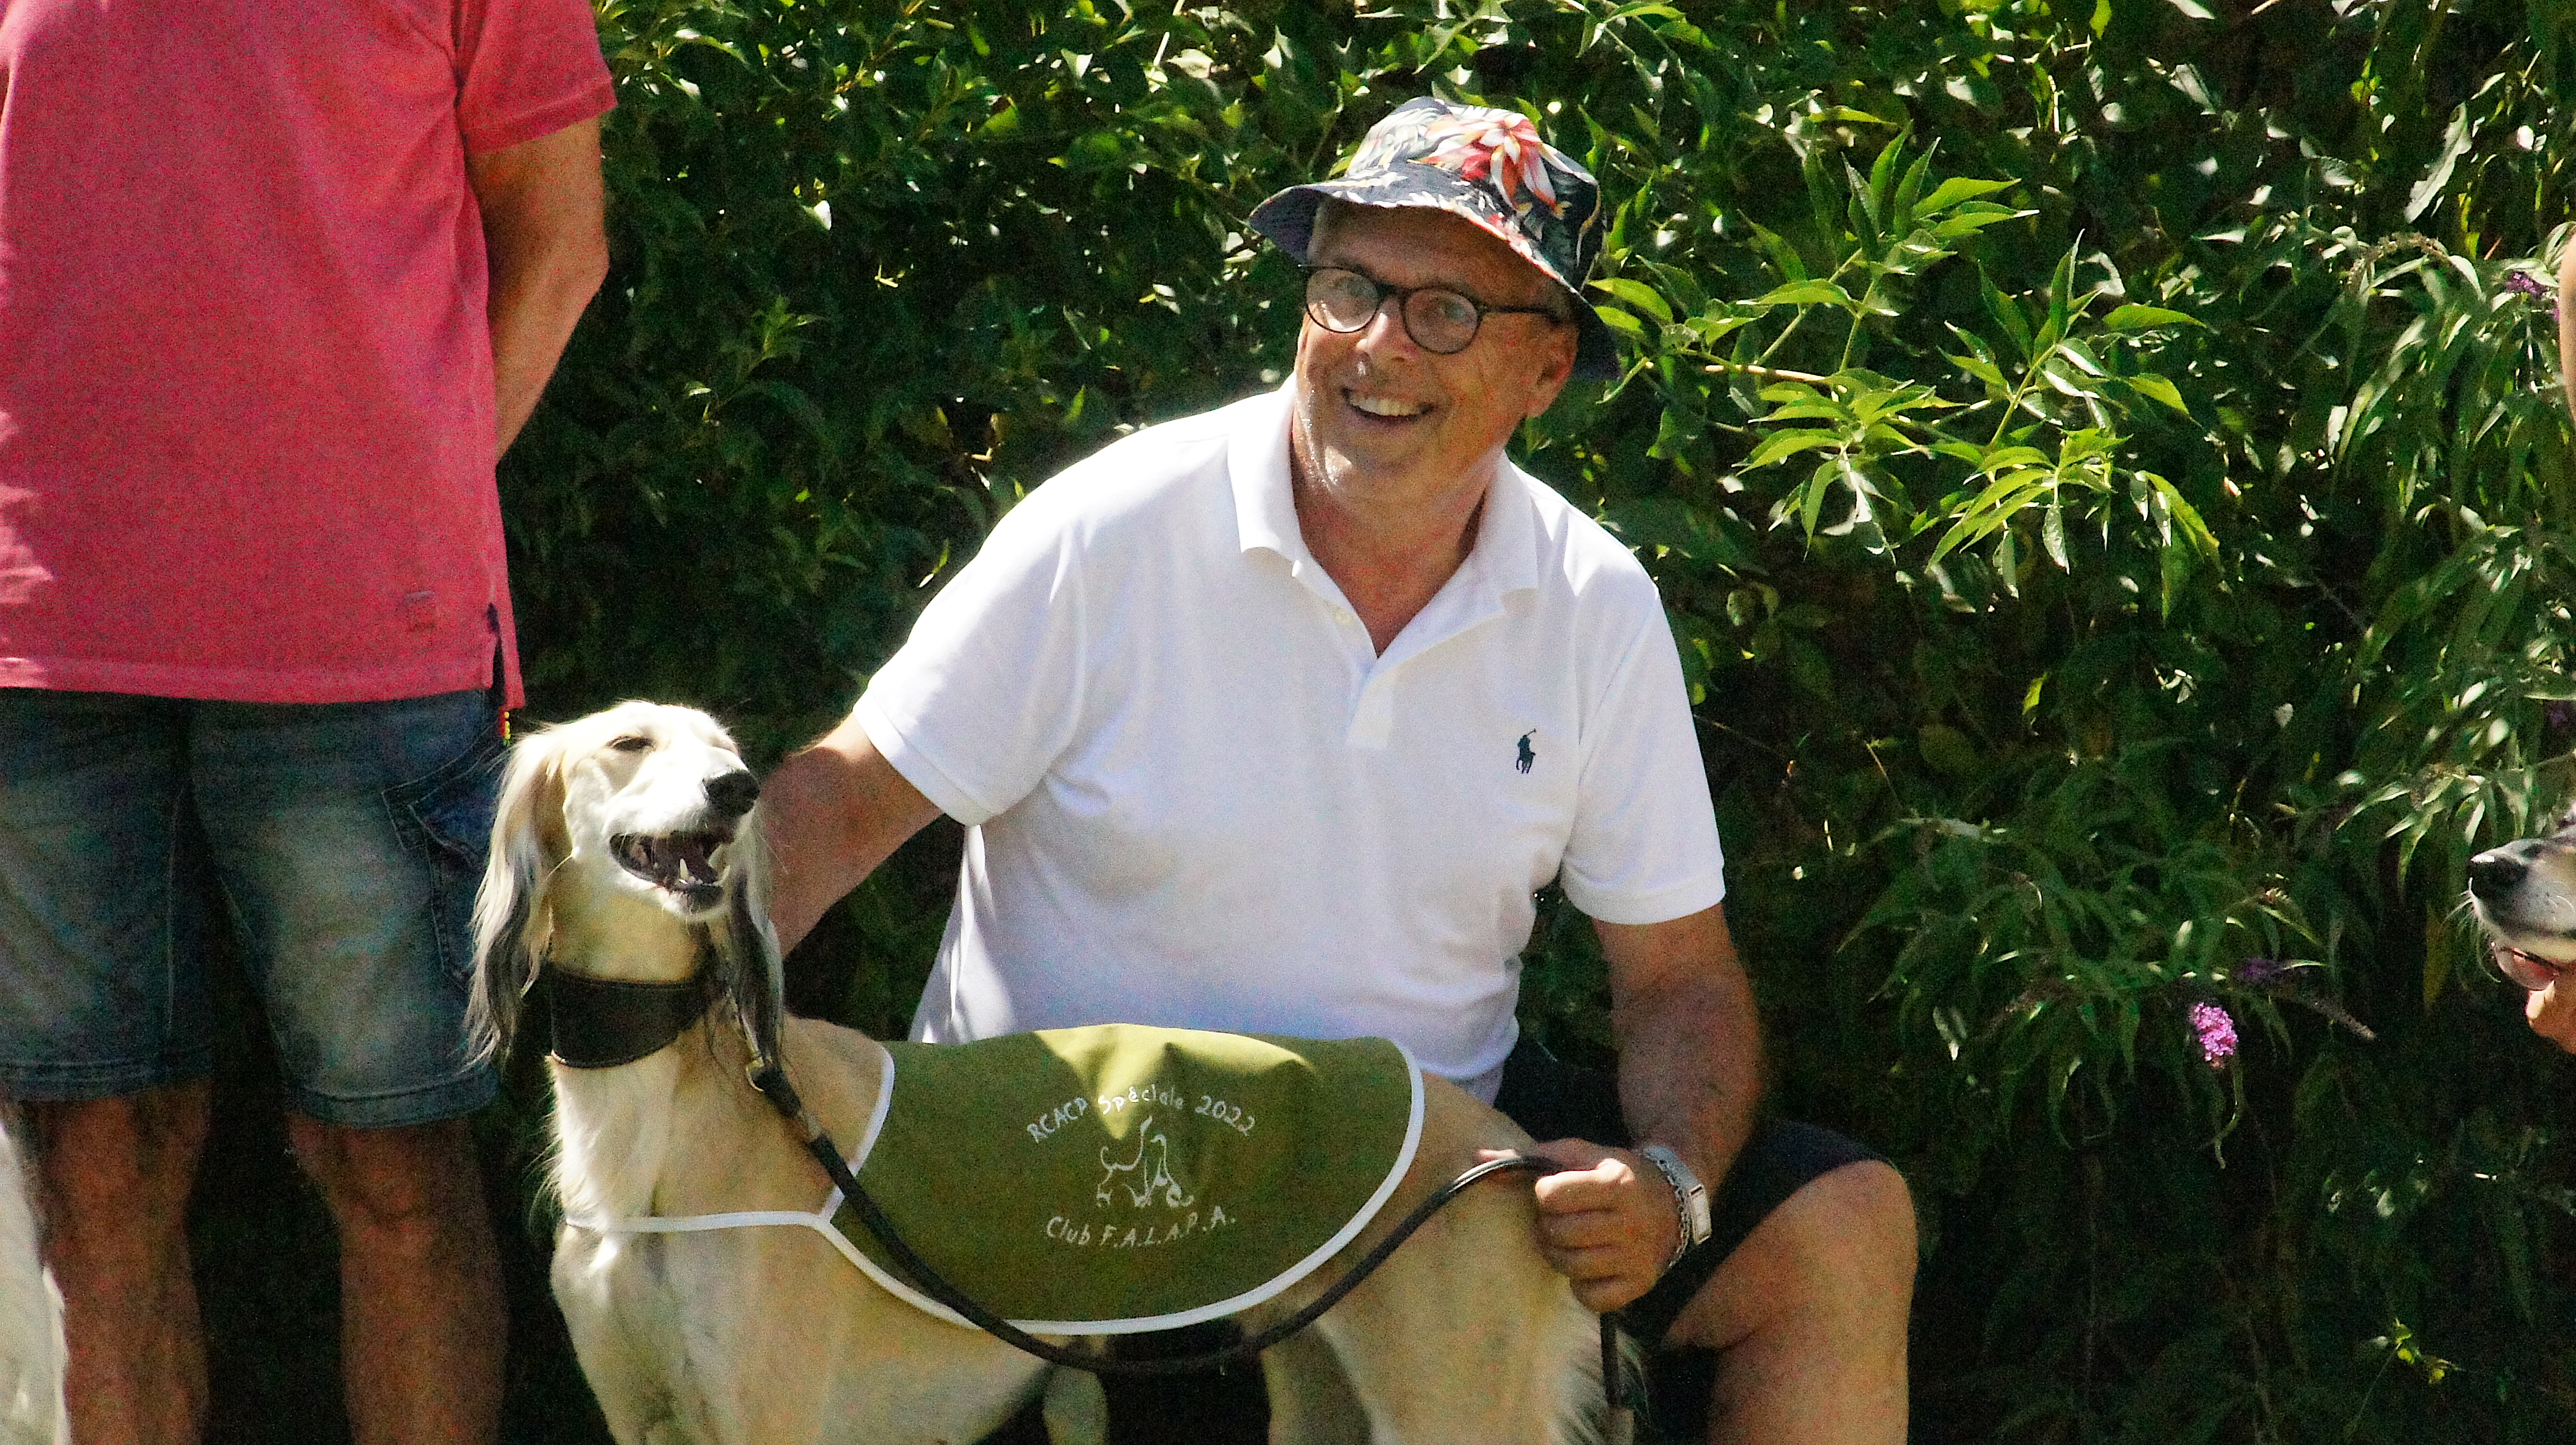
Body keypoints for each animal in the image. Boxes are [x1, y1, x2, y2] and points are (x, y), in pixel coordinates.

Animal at [461, 706, 1586, 1442]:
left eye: (726, 752)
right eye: (628, 743)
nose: (736, 794)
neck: (666, 1124)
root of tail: (1517, 1151)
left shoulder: (768, 1415)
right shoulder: (641, 1413)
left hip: (1450, 1401)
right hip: (1322, 1384)